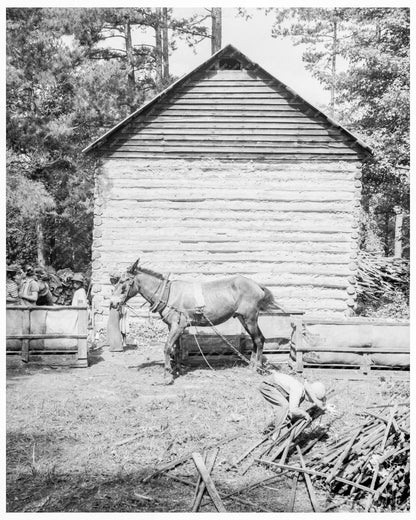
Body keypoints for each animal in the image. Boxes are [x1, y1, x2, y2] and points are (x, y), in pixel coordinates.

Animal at [109, 258, 284, 384]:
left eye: (123, 281)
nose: (113, 303)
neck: (168, 293)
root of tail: (257, 285)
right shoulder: (175, 327)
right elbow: (176, 349)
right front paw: (177, 369)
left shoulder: (177, 326)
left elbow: (167, 348)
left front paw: (167, 376)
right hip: (243, 318)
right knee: (256, 340)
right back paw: (251, 365)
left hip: (250, 318)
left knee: (259, 340)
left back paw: (256, 368)